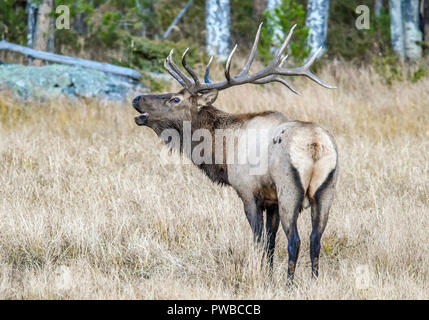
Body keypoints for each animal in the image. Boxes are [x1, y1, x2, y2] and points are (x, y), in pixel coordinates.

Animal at [131, 22, 338, 278]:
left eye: (175, 99)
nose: (136, 98)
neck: (222, 151)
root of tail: (316, 144)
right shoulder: (271, 200)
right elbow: (271, 241)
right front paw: (268, 274)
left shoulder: (248, 191)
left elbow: (259, 240)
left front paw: (259, 274)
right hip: (326, 190)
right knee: (315, 240)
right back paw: (314, 280)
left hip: (289, 189)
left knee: (295, 240)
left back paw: (290, 282)